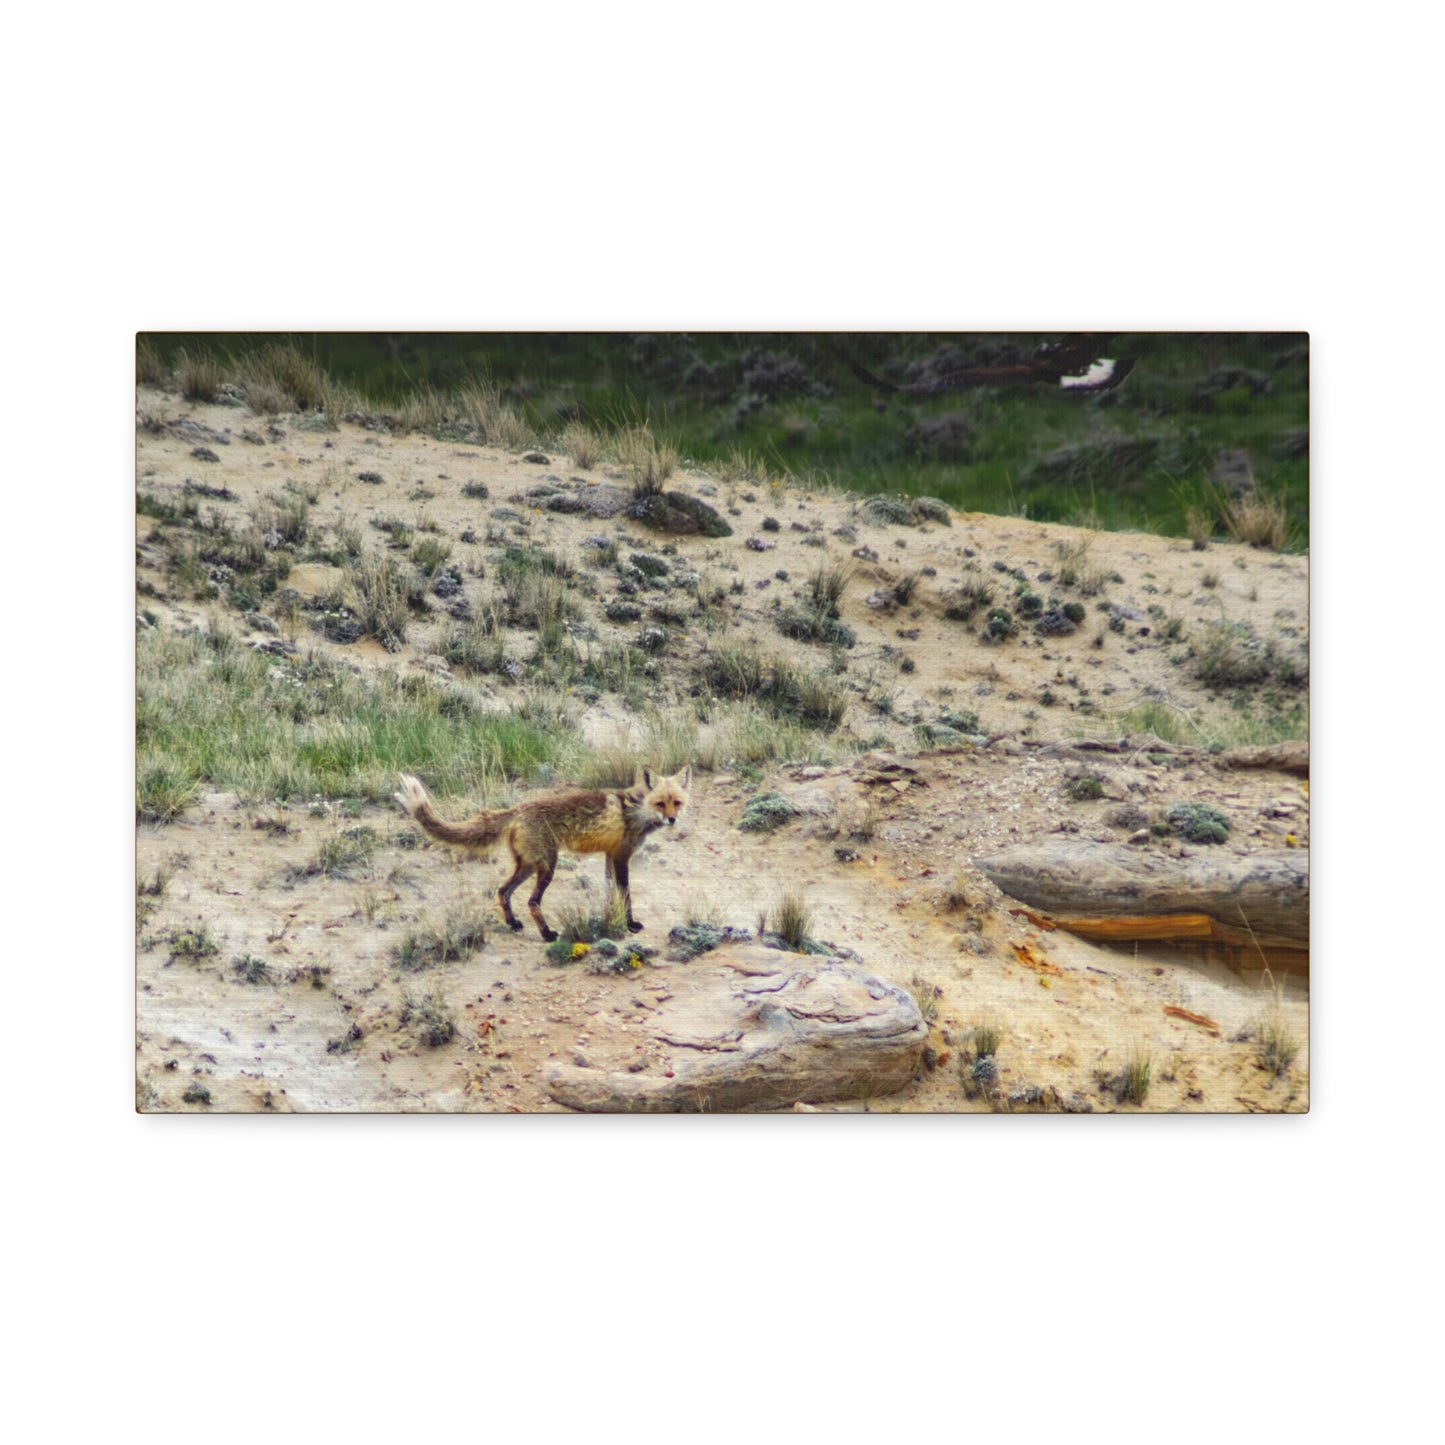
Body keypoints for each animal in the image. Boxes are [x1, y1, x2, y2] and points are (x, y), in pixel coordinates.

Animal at [393, 767, 690, 942]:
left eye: (677, 802)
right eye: (660, 803)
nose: (672, 819)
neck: (636, 809)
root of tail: (517, 809)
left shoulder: (610, 855)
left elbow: (611, 893)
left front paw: (611, 920)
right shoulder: (620, 856)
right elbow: (625, 894)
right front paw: (630, 925)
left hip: (527, 866)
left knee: (503, 891)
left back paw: (513, 924)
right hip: (548, 866)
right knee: (532, 902)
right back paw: (547, 934)